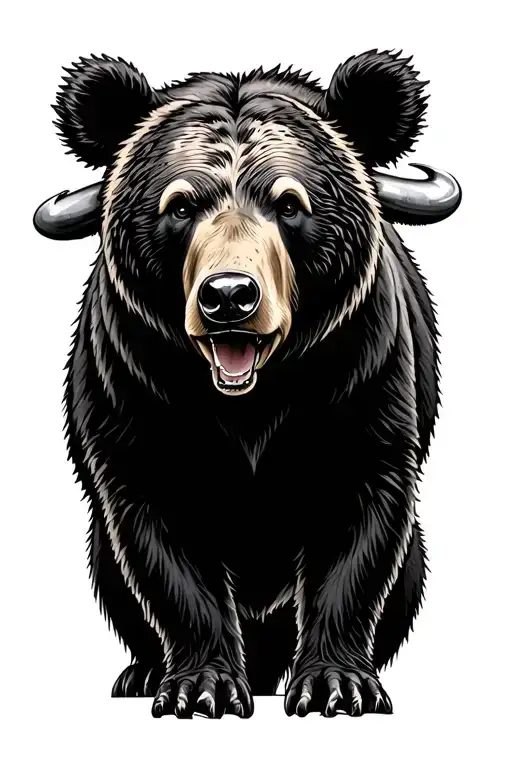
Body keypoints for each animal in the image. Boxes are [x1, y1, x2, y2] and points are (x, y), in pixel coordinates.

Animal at [36, 50, 461, 719]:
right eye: (179, 206)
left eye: (289, 204)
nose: (229, 296)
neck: (250, 401)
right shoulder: (133, 405)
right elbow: (165, 557)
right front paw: (198, 685)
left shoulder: (367, 394)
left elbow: (358, 542)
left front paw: (336, 683)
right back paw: (142, 672)